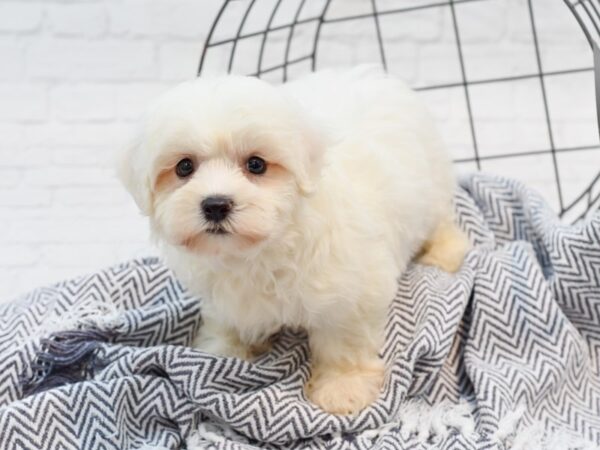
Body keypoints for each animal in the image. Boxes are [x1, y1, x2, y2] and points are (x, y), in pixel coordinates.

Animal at [119, 68, 472, 416]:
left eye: (256, 164)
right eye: (184, 167)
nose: (216, 204)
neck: (261, 249)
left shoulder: (352, 291)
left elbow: (344, 341)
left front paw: (343, 388)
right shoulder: (223, 293)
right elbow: (227, 321)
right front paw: (223, 350)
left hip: (431, 186)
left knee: (442, 219)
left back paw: (445, 252)